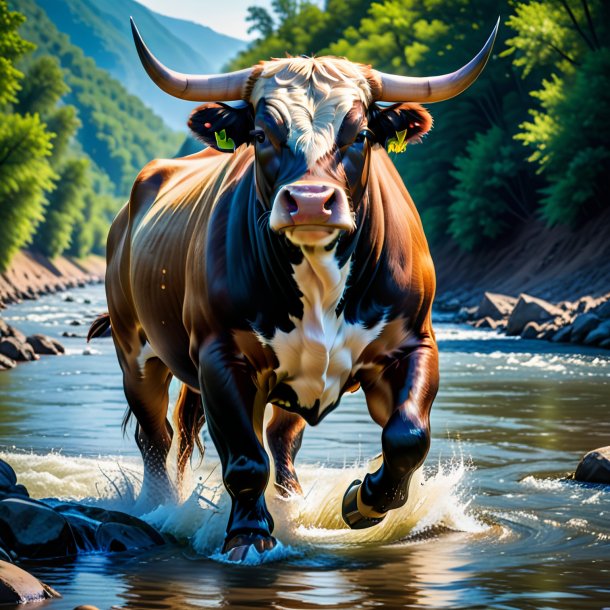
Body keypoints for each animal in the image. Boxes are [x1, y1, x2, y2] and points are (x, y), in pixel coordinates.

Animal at [91, 17, 498, 560]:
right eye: (262, 134)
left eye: (361, 133)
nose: (308, 201)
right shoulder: (220, 356)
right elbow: (244, 458)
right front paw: (248, 535)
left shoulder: (414, 342)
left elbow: (408, 434)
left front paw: (363, 500)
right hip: (134, 351)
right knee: (157, 437)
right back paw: (161, 508)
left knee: (281, 442)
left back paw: (292, 506)